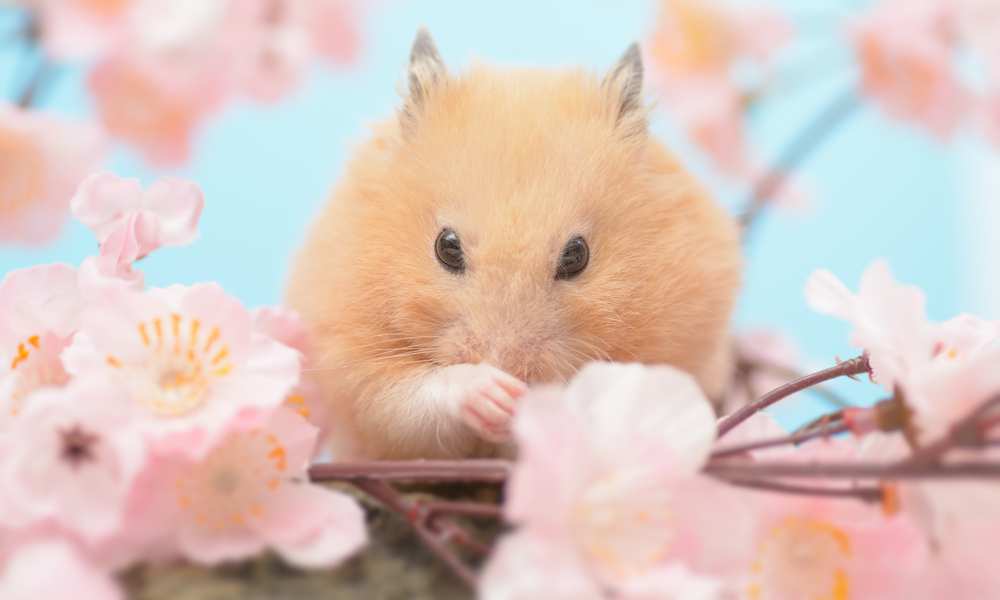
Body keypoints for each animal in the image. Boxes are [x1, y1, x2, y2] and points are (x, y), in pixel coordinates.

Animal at [285, 29, 742, 459]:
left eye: (577, 255)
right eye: (446, 247)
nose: (506, 367)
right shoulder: (353, 363)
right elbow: (409, 398)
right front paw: (494, 395)